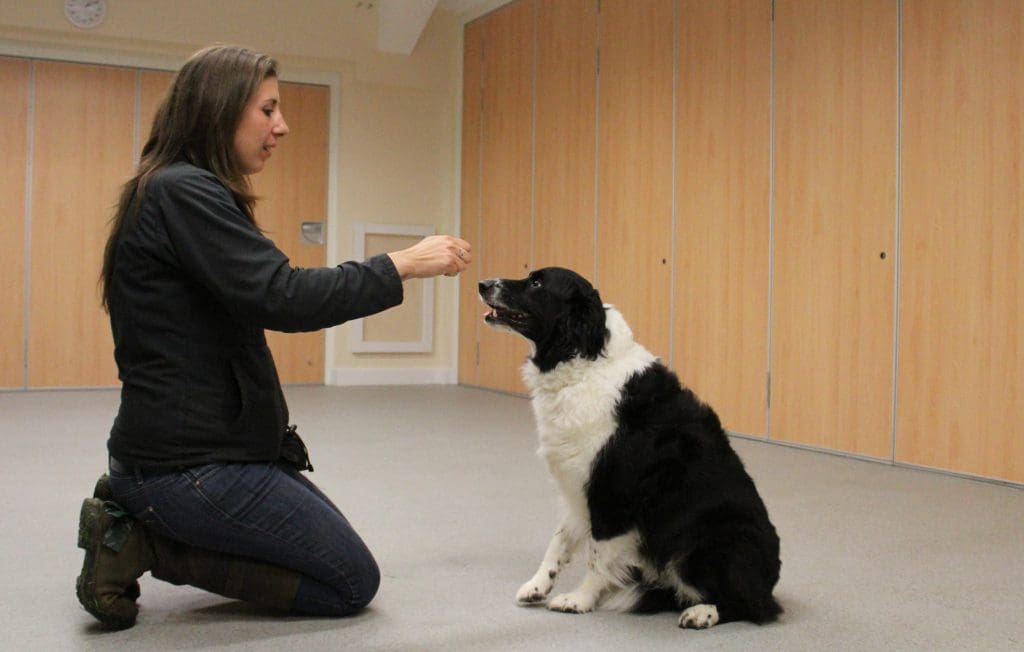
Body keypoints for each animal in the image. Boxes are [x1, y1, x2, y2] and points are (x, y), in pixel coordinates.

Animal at [479, 266, 782, 626]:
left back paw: (703, 613)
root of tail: (770, 583)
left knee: (751, 606)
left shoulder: (612, 494)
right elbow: (559, 542)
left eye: (537, 283)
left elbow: (597, 556)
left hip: (715, 539)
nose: (482, 284)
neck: (582, 359)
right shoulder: (578, 490)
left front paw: (579, 599)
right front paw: (538, 585)